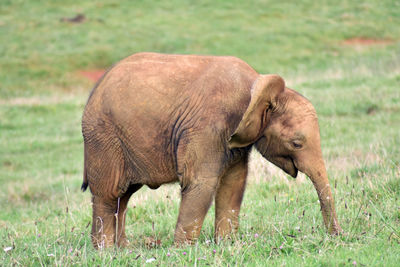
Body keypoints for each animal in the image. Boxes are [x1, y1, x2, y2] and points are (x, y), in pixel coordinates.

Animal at [80, 52, 340, 249]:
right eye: (296, 143)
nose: (335, 237)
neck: (256, 86)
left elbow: (234, 183)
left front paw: (227, 245)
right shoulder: (207, 127)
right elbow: (202, 182)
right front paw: (183, 251)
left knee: (123, 197)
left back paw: (123, 249)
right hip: (103, 137)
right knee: (109, 193)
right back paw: (105, 251)